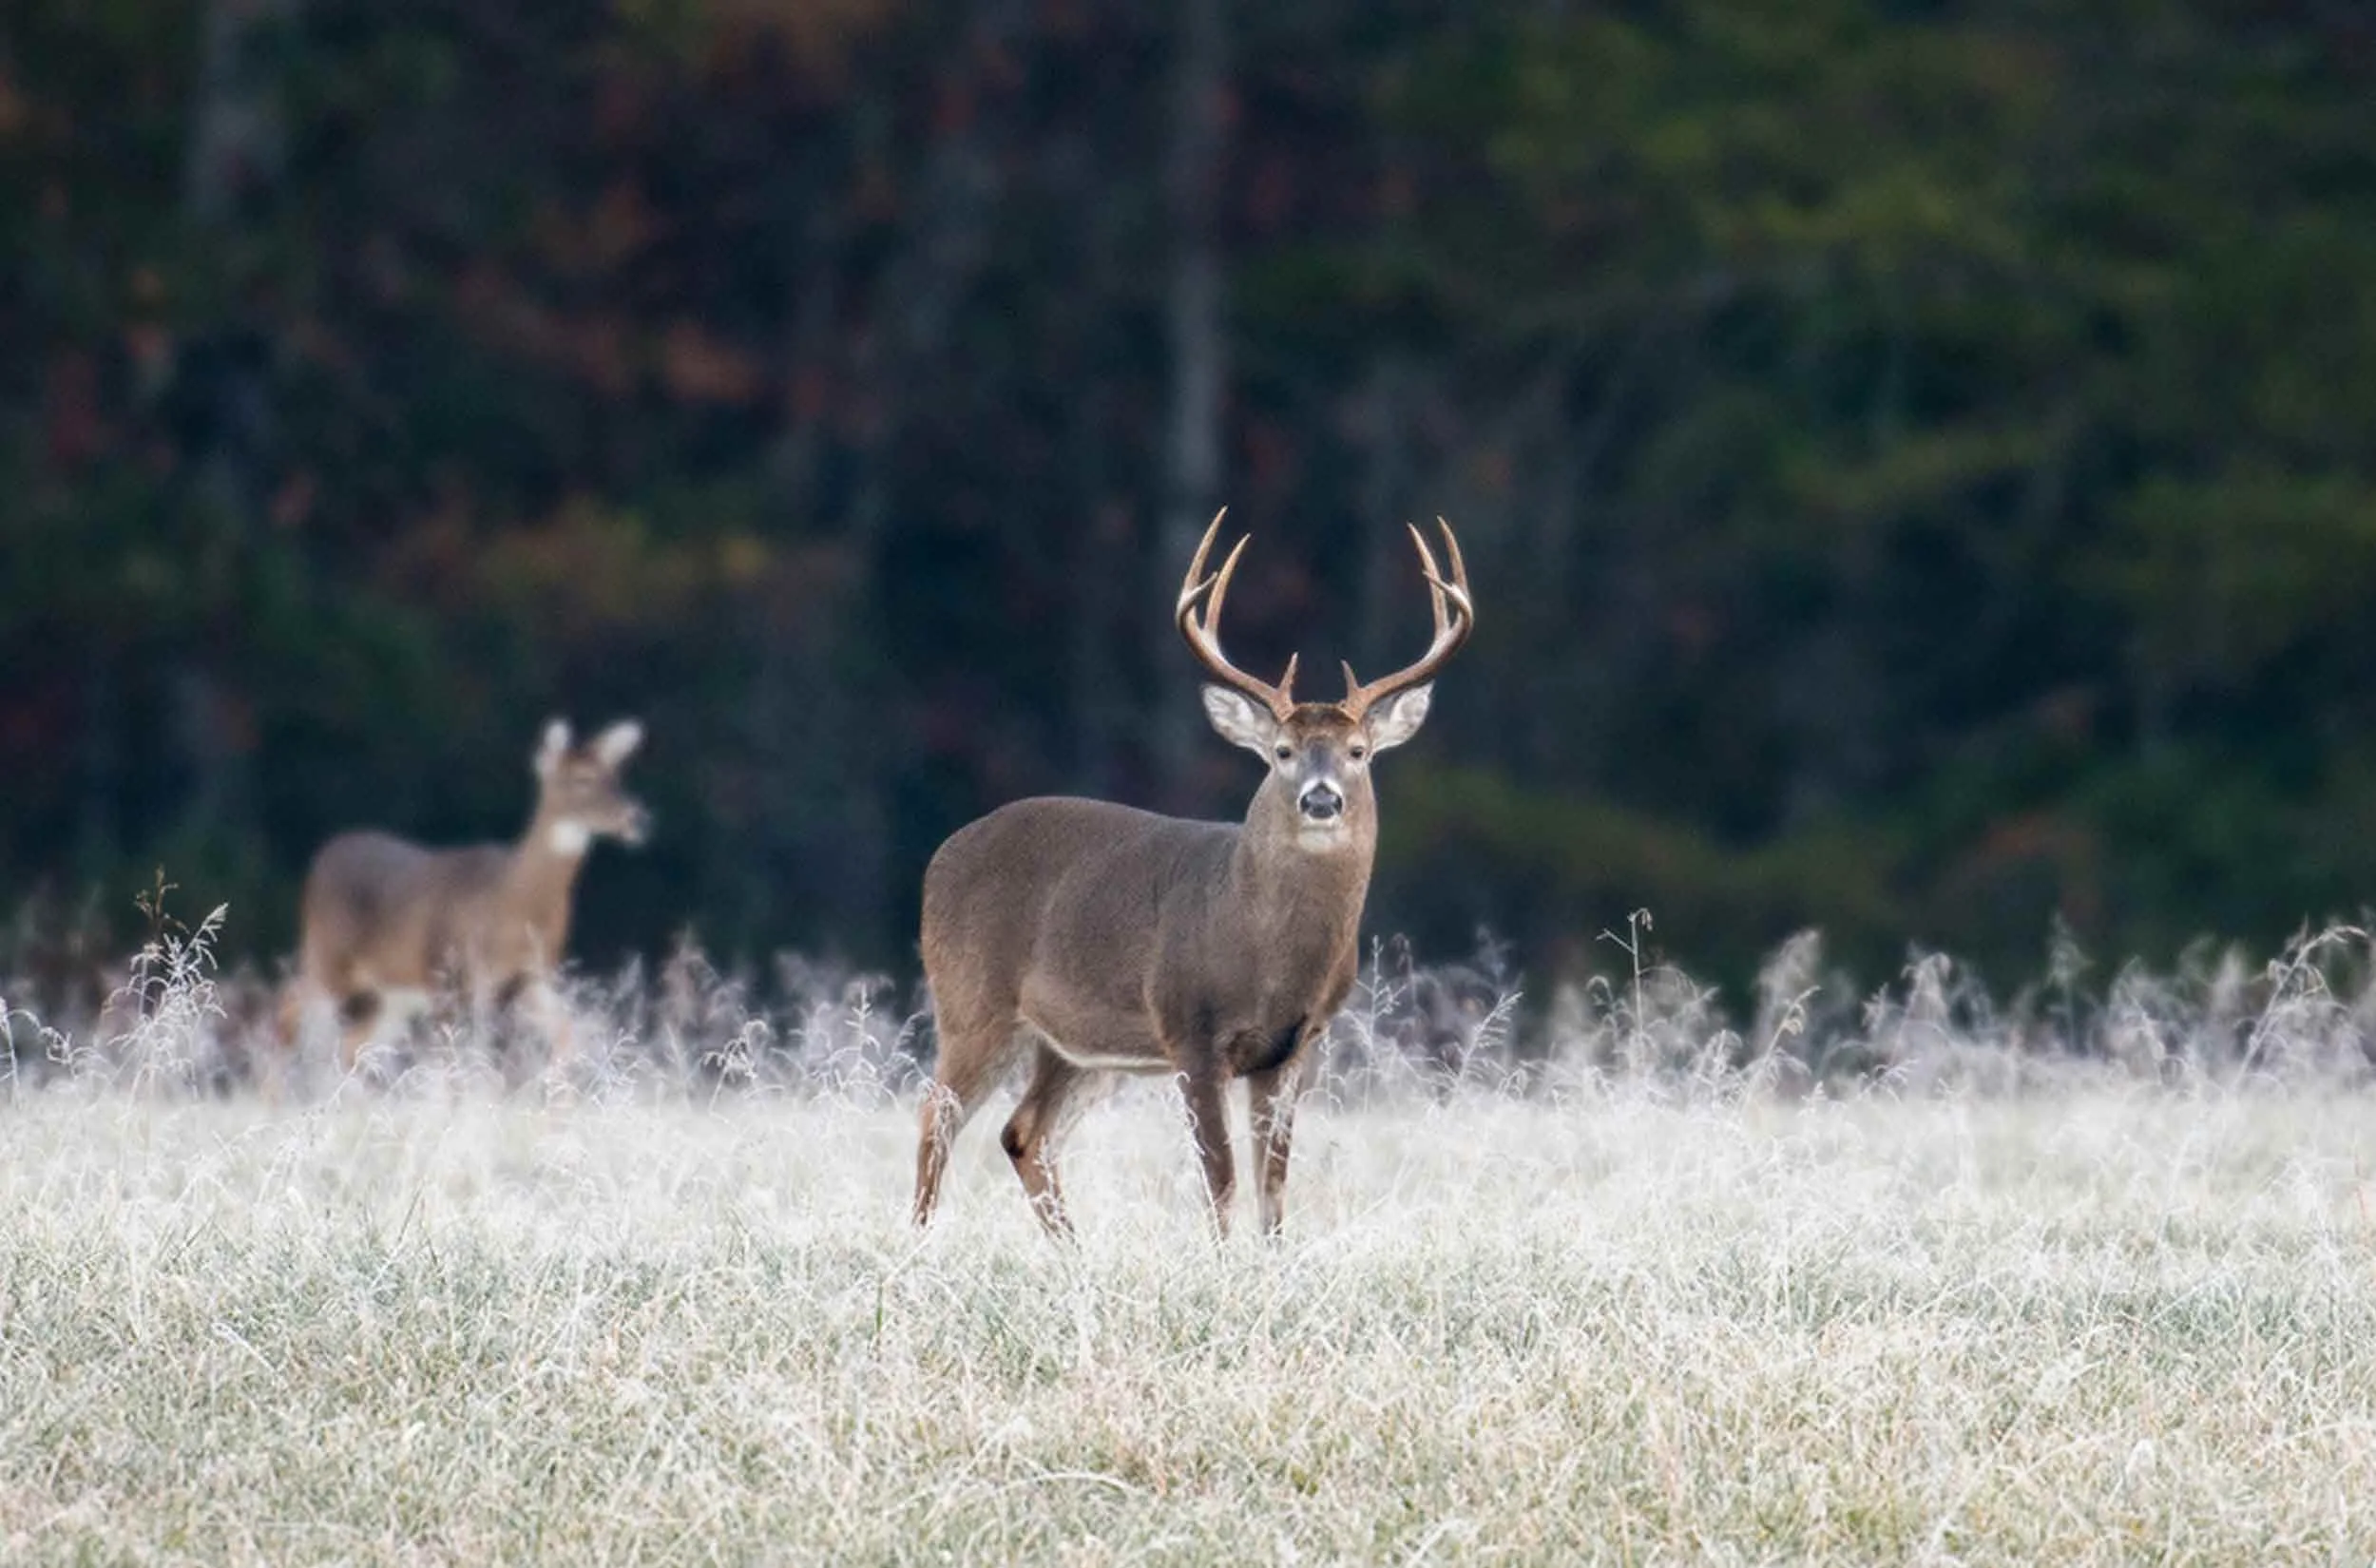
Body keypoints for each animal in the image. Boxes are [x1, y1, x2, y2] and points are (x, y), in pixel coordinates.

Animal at [276, 719, 650, 1072]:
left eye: (617, 777)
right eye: (582, 779)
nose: (637, 819)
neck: (513, 902)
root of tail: (323, 856)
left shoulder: (530, 976)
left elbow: (567, 1035)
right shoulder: (446, 972)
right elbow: (454, 1059)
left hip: (390, 993)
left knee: (349, 1045)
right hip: (329, 956)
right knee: (287, 1010)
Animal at [913, 512, 1473, 1237]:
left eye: (1359, 752)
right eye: (1282, 751)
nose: (1321, 799)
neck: (1264, 950)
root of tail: (940, 857)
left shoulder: (1295, 1047)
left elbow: (1273, 1187)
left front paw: (1272, 1255)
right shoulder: (1191, 1032)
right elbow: (1222, 1181)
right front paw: (1221, 1260)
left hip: (1076, 1046)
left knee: (1024, 1132)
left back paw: (1074, 1254)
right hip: (972, 1001)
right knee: (936, 1117)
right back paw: (919, 1243)